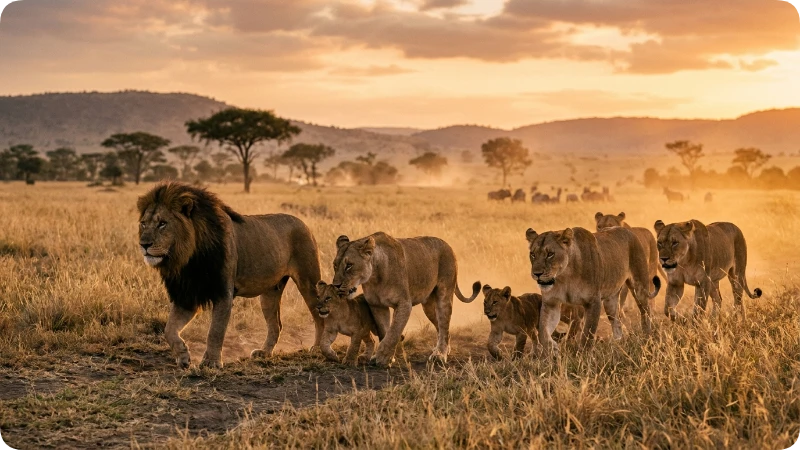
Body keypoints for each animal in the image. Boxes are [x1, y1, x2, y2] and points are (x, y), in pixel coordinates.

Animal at [137, 182, 323, 369]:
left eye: (162, 223)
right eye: (143, 224)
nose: (143, 244)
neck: (188, 259)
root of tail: (303, 223)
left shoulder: (223, 293)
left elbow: (215, 331)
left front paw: (211, 362)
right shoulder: (187, 295)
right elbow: (169, 330)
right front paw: (183, 356)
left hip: (308, 282)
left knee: (320, 317)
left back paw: (318, 348)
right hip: (270, 292)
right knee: (276, 324)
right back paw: (264, 353)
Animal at [331, 233, 481, 366]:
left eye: (349, 265)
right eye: (335, 265)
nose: (336, 285)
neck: (374, 277)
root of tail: (448, 245)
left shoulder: (404, 304)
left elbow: (394, 331)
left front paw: (381, 358)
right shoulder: (377, 305)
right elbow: (385, 331)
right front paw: (389, 358)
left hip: (444, 295)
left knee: (444, 326)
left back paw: (440, 355)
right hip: (428, 306)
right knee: (441, 327)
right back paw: (443, 349)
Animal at [526, 226, 660, 352]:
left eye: (550, 254)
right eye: (533, 254)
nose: (537, 273)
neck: (564, 277)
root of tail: (628, 230)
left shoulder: (593, 302)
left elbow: (587, 335)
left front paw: (583, 357)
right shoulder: (551, 303)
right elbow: (544, 332)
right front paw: (552, 351)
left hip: (639, 288)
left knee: (646, 313)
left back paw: (647, 339)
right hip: (610, 301)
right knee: (617, 322)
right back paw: (617, 346)